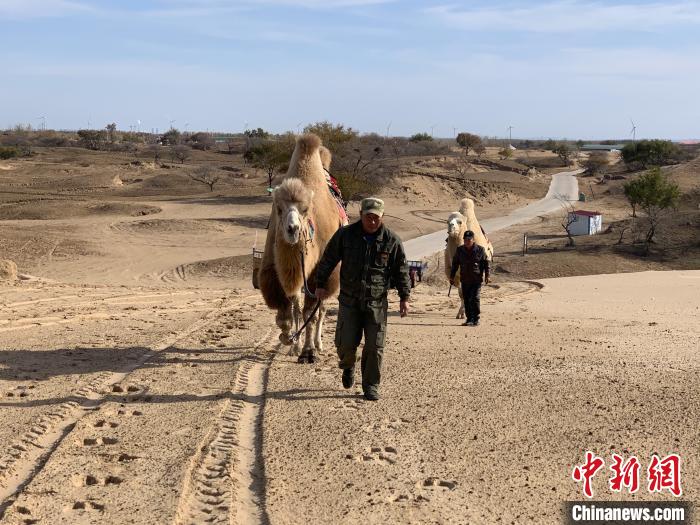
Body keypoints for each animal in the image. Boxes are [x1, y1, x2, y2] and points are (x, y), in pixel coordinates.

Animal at [258, 134, 344, 360]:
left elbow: (309, 314)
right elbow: (288, 312)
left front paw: (307, 351)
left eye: (305, 210)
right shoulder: (276, 270)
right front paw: (289, 340)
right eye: (279, 209)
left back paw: (318, 344)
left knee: (321, 310)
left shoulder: (319, 271)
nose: (292, 229)